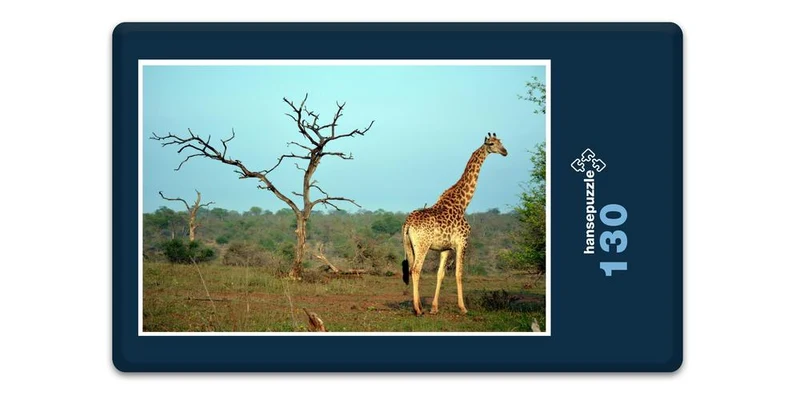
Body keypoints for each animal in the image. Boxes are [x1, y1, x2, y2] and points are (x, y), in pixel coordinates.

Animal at [401, 132, 508, 316]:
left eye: (501, 142)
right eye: (492, 144)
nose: (505, 152)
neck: (462, 203)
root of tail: (408, 223)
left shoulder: (445, 248)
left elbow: (440, 274)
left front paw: (434, 308)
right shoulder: (462, 242)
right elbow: (459, 273)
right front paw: (463, 307)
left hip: (410, 245)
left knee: (411, 269)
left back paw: (420, 306)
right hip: (422, 245)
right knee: (415, 270)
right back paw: (418, 310)